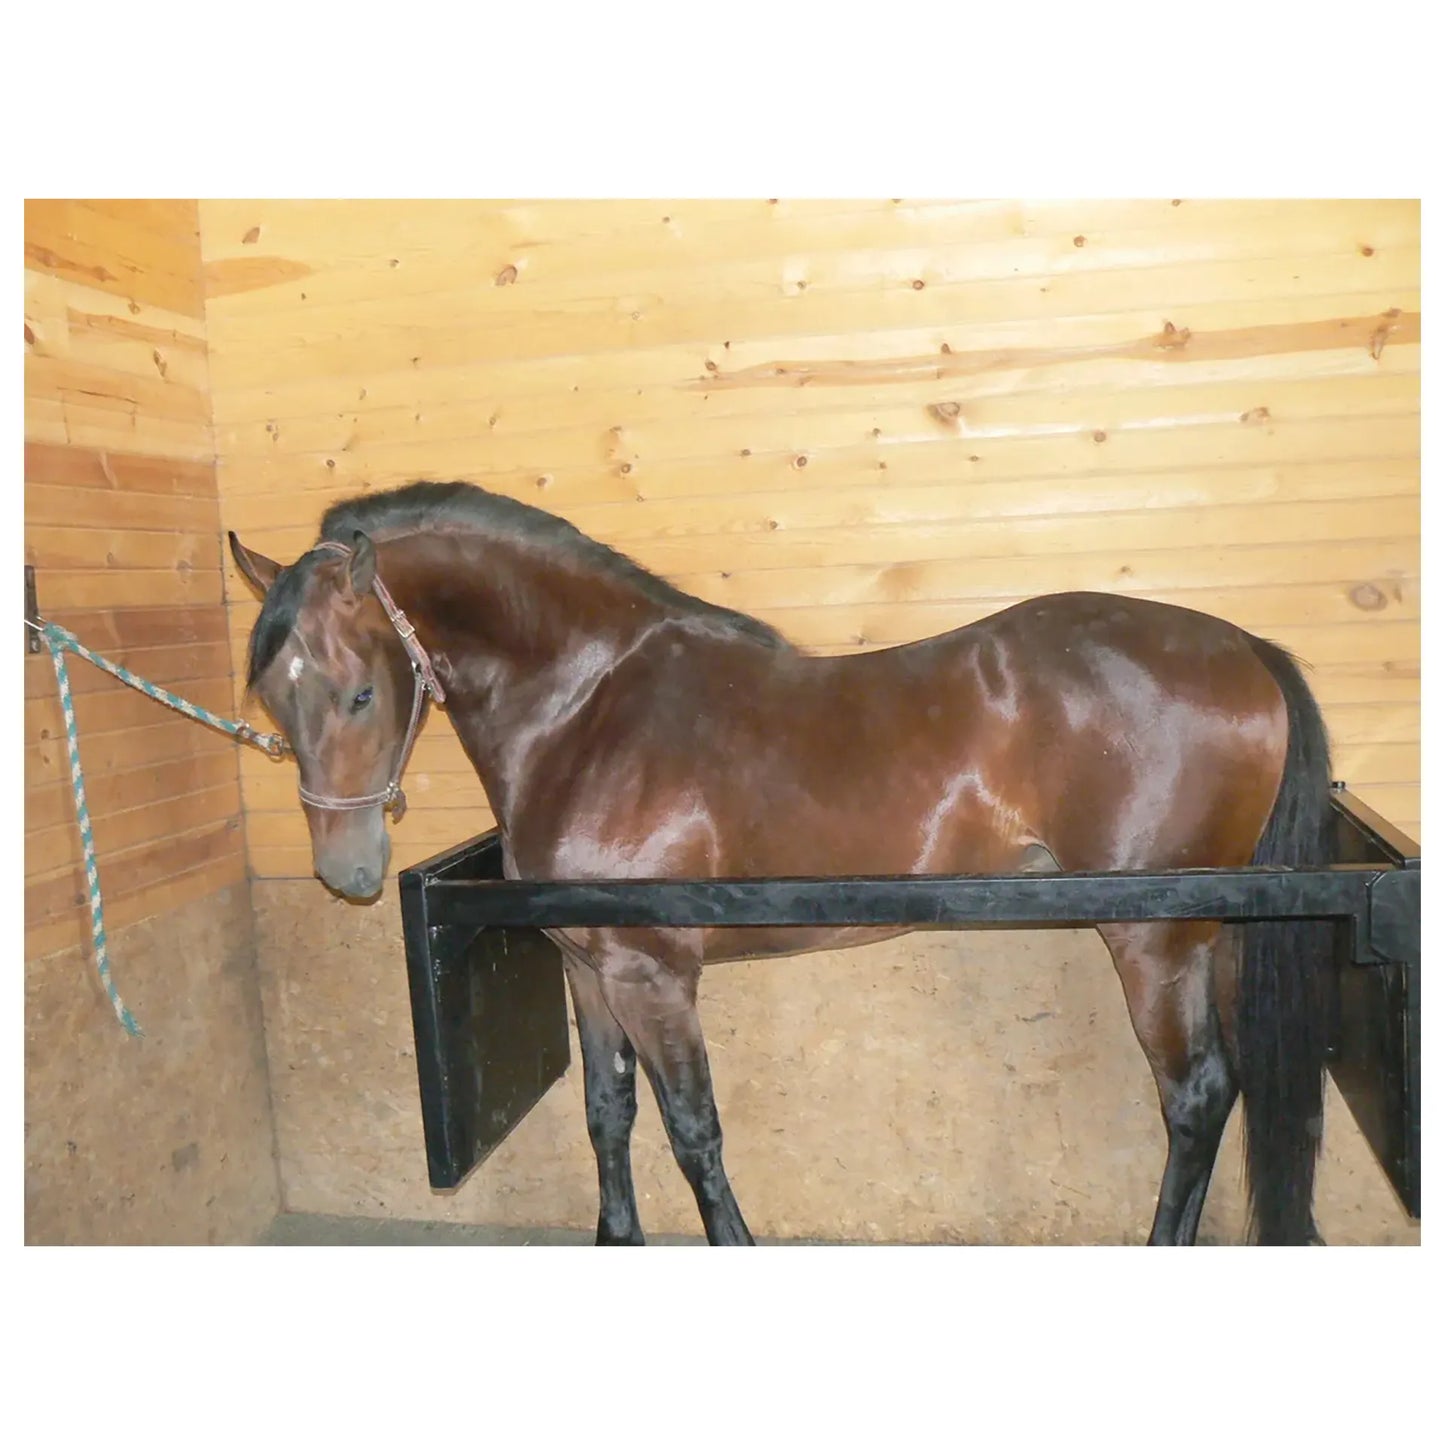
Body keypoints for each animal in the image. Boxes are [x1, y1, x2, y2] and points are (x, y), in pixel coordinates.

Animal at [230, 478, 1333, 1246]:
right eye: (272, 699)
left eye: (359, 692)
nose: (347, 869)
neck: (589, 708)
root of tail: (1243, 649)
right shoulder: (586, 966)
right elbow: (607, 1115)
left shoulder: (651, 973)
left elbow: (692, 1131)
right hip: (1212, 938)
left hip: (1152, 938)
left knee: (1192, 1096)